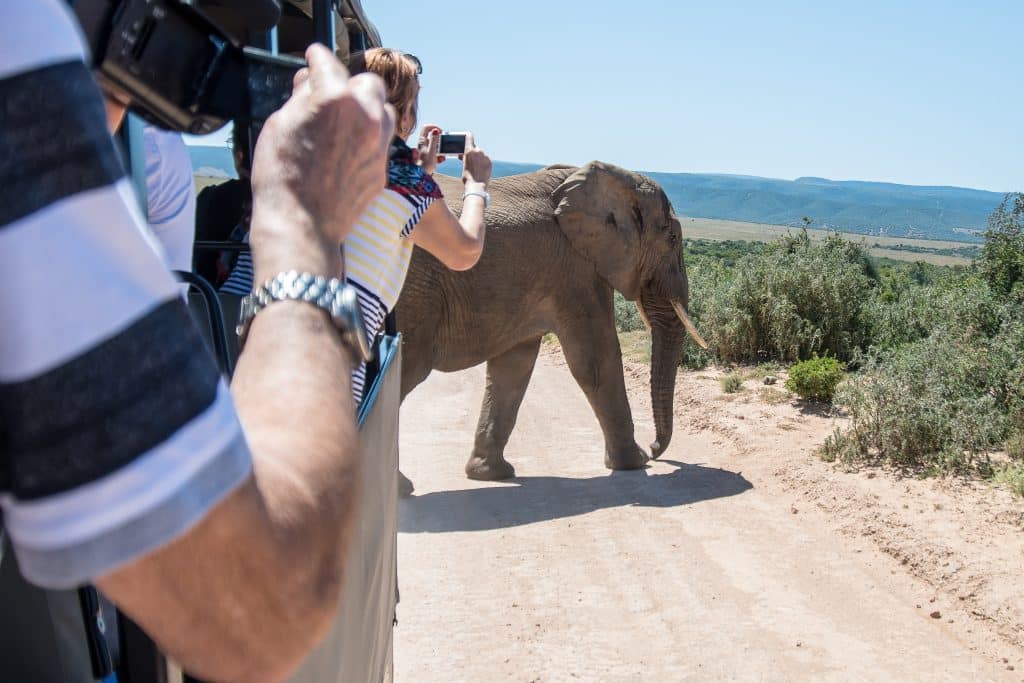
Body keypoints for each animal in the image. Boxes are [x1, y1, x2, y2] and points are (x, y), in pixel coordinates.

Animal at [395, 161, 705, 494]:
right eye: (672, 239)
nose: (656, 449)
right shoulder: (577, 270)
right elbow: (597, 360)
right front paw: (635, 463)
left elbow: (514, 366)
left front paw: (491, 474)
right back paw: (401, 489)